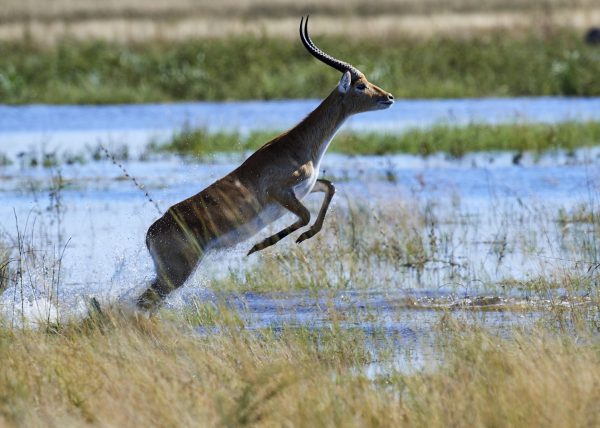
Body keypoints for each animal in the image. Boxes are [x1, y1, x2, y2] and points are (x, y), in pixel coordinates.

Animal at [138, 15, 396, 308]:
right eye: (360, 85)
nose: (388, 97)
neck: (298, 146)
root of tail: (150, 233)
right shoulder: (279, 191)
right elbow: (305, 215)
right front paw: (259, 246)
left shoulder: (306, 187)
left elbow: (330, 188)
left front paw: (301, 237)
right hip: (175, 275)